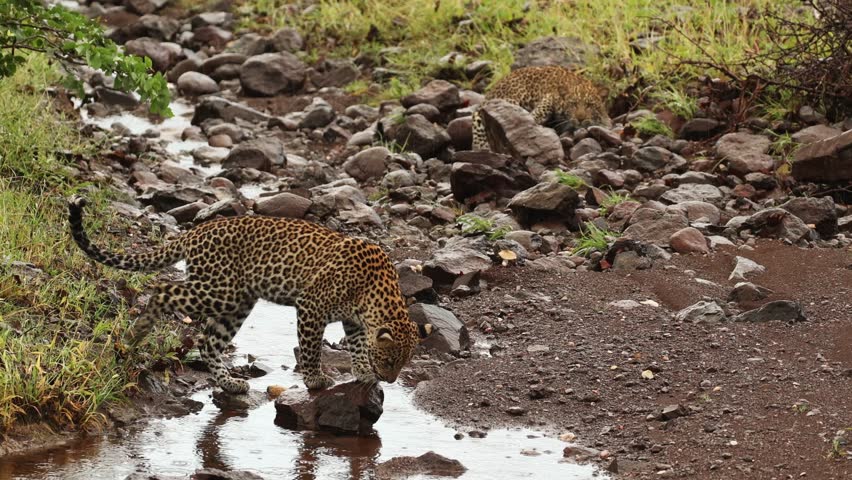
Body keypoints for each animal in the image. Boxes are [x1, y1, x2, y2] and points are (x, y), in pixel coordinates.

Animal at [67, 195, 432, 394]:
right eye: (390, 361)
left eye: (401, 363)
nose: (390, 380)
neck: (375, 293)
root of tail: (194, 232)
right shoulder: (311, 306)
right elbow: (311, 348)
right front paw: (315, 379)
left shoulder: (354, 321)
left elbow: (356, 346)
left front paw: (363, 372)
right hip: (219, 290)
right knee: (162, 290)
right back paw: (137, 334)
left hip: (238, 303)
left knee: (208, 342)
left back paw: (230, 384)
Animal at [471, 65, 611, 151]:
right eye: (573, 104)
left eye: (590, 105)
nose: (580, 118)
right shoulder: (551, 96)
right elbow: (542, 108)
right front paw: (532, 120)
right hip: (509, 98)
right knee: (476, 117)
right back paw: (482, 148)